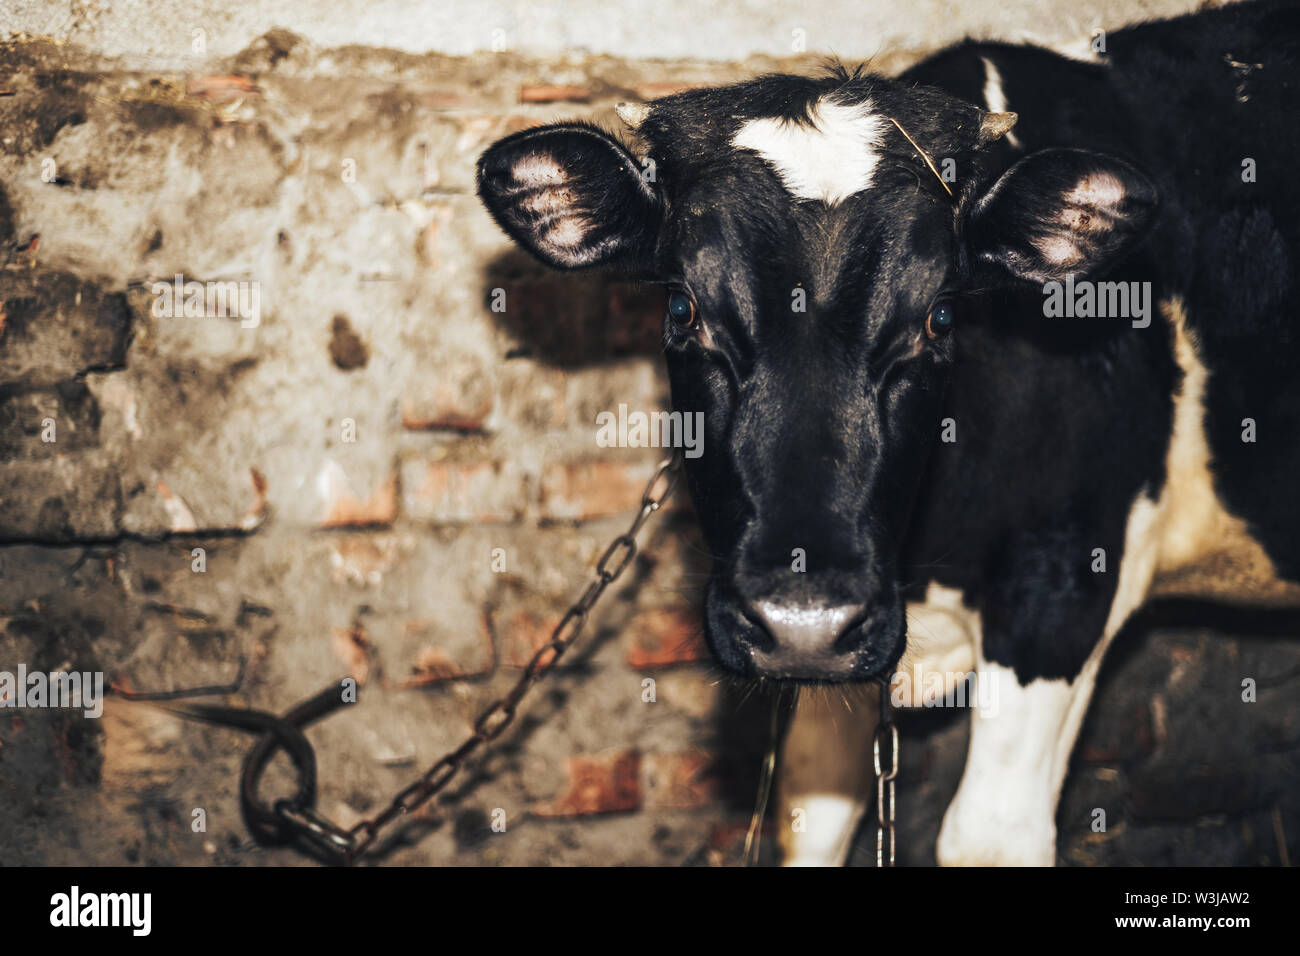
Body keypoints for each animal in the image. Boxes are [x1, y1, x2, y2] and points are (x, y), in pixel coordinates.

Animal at [476, 0, 1300, 865]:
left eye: (940, 316)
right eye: (680, 307)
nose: (802, 621)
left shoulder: (1065, 583)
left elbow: (989, 834)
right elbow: (814, 813)